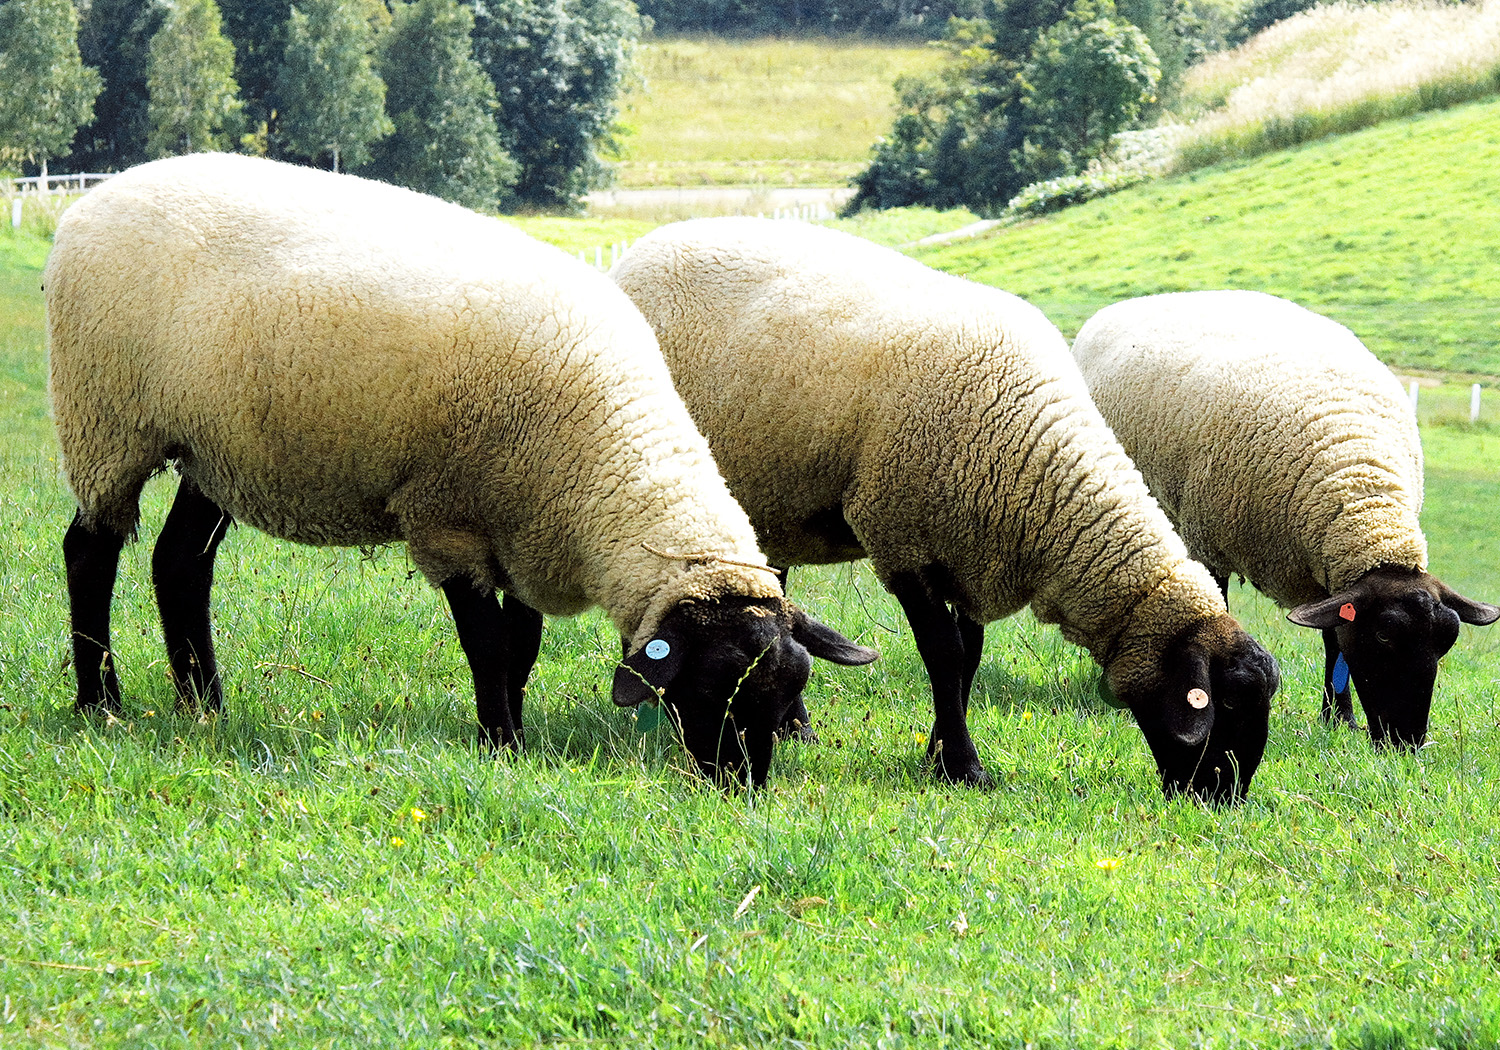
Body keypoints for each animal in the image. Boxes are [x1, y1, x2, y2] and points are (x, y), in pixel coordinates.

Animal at [43, 151, 876, 786]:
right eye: (709, 684)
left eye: (788, 693)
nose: (743, 786)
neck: (606, 454)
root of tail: (102, 193)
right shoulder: (446, 521)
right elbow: (488, 642)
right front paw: (501, 743)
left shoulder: (527, 527)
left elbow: (524, 644)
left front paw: (515, 725)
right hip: (106, 416)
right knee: (91, 551)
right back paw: (101, 702)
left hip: (212, 447)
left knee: (180, 561)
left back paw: (205, 705)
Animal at [609, 217, 1278, 798]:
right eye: (1225, 706)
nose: (1224, 801)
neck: (1037, 460)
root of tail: (648, 243)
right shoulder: (903, 541)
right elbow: (945, 656)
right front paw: (963, 766)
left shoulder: (974, 550)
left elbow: (969, 658)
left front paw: (938, 752)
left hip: (769, 500)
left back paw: (793, 726)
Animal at [1074, 286, 1494, 747]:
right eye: (1384, 634)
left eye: (1446, 642)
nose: (1407, 741)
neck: (1358, 481)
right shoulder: (1207, 541)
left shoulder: (1326, 573)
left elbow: (1333, 640)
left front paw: (1338, 717)